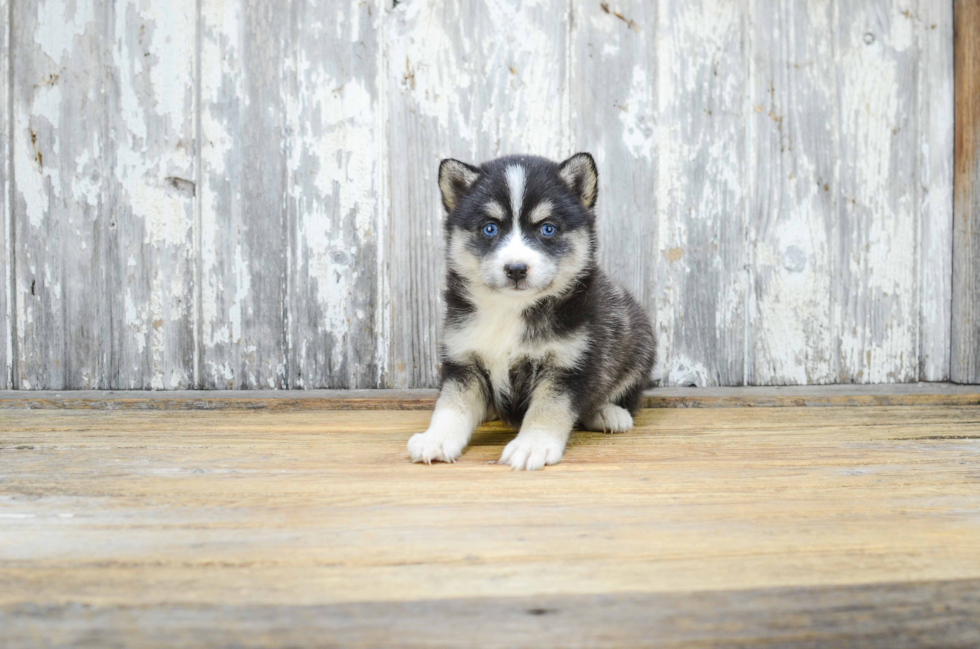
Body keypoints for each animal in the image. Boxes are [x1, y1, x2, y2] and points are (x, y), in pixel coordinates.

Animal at [406, 151, 660, 470]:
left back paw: (608, 412)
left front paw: (532, 445)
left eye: (547, 228)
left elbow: (548, 409)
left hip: (637, 340)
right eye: (490, 228)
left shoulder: (568, 364)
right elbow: (451, 406)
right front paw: (437, 438)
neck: (511, 311)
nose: (516, 269)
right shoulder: (464, 360)